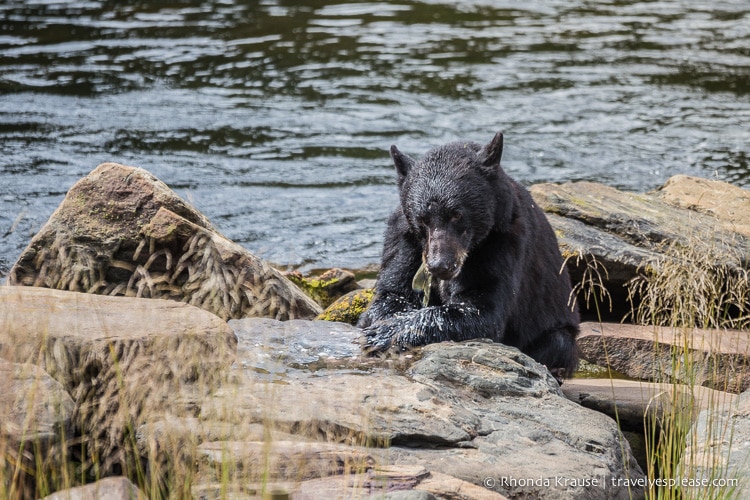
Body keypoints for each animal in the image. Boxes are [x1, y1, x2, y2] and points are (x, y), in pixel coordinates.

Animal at [358, 131, 580, 376]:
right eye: (422, 218)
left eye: (457, 214)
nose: (439, 265)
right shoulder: (403, 237)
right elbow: (393, 291)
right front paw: (382, 326)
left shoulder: (502, 243)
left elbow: (482, 309)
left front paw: (384, 334)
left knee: (558, 342)